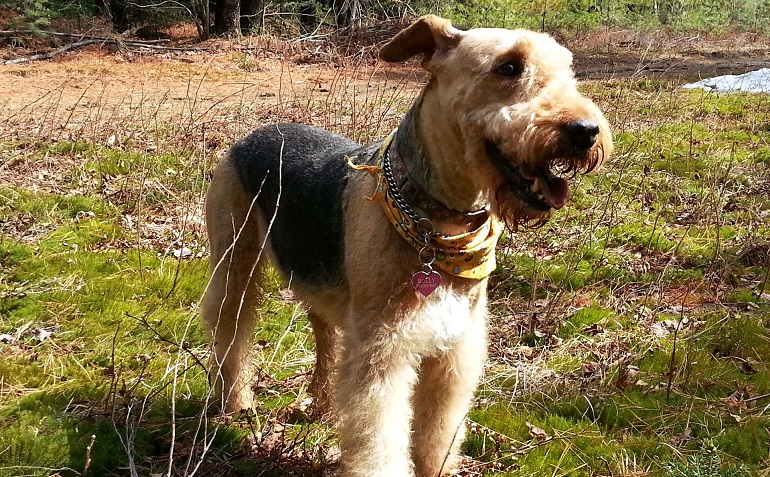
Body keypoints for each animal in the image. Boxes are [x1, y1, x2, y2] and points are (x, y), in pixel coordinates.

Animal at [200, 14, 612, 476]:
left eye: (568, 69)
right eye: (508, 67)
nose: (586, 131)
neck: (440, 224)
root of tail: (256, 131)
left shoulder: (455, 351)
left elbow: (437, 430)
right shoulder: (384, 351)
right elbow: (379, 436)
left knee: (324, 338)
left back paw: (320, 407)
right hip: (234, 261)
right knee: (230, 330)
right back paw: (235, 403)